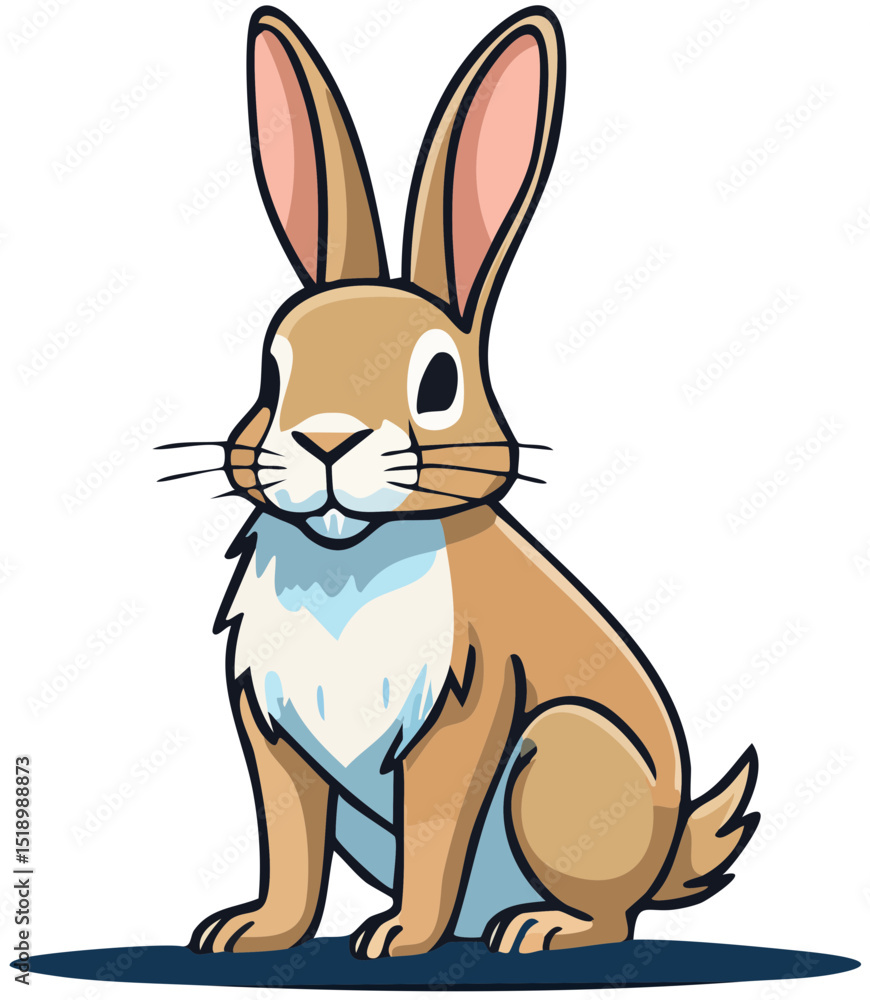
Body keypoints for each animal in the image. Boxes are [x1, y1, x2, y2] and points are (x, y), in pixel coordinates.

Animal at [186, 4, 759, 959]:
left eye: (439, 382)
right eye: (271, 372)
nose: (325, 441)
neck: (351, 554)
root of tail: (670, 850)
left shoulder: (463, 712)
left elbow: (433, 837)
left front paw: (396, 940)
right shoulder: (274, 737)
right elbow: (292, 849)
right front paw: (252, 933)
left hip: (562, 753)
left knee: (614, 918)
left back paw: (538, 930)